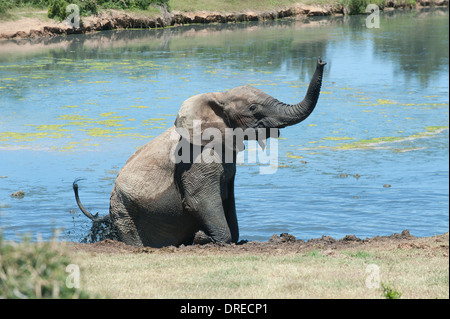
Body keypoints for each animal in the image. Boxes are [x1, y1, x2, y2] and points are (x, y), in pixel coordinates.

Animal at [74, 58, 326, 248]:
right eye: (253, 108)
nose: (322, 61)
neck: (220, 96)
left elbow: (228, 200)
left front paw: (205, 238)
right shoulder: (195, 158)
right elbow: (201, 200)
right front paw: (204, 239)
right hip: (123, 210)